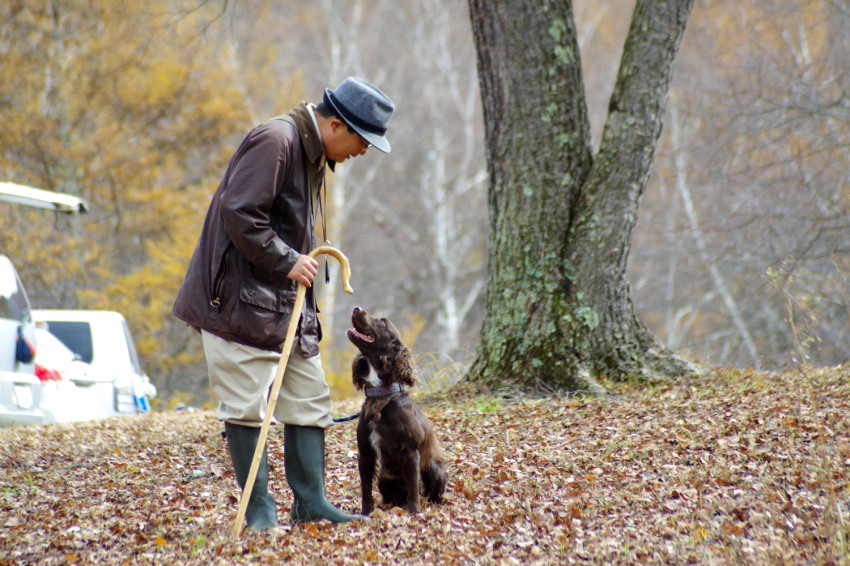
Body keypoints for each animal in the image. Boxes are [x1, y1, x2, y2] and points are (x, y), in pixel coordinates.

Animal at [346, 308, 448, 516]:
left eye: (383, 322)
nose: (356, 308)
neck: (381, 395)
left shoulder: (410, 452)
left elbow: (414, 486)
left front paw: (414, 512)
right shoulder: (365, 452)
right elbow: (365, 488)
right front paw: (365, 513)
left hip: (435, 467)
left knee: (431, 492)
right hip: (383, 478)